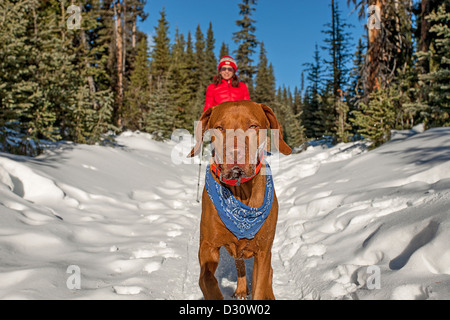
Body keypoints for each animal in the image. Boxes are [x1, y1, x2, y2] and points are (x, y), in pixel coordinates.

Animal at [187, 100, 290, 300]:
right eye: (219, 128)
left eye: (253, 126)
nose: (235, 153)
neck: (241, 193)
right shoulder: (207, 247)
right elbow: (207, 280)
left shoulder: (263, 253)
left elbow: (260, 286)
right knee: (239, 264)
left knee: (268, 274)